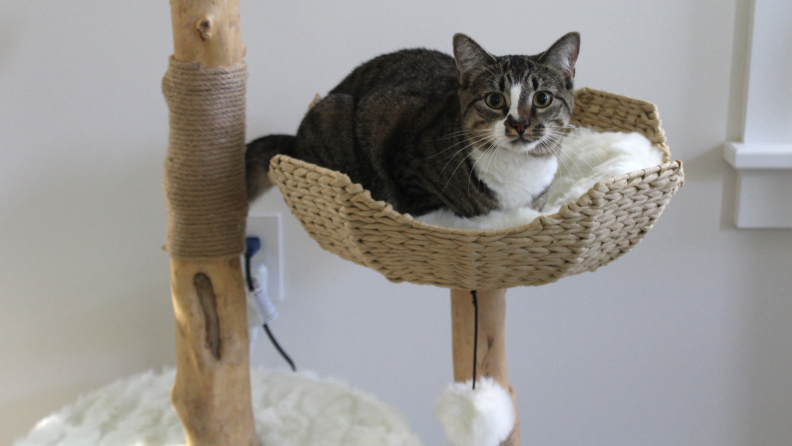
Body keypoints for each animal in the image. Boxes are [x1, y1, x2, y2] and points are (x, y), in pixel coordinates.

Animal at [248, 33, 580, 218]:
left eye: (542, 98)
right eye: (495, 100)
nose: (520, 124)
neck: (517, 170)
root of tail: (293, 141)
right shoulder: (406, 160)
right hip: (333, 112)